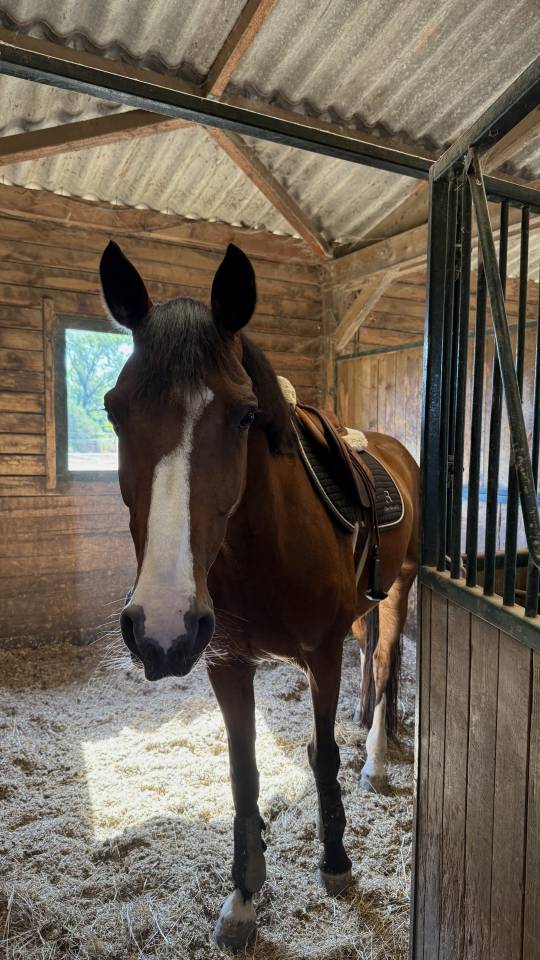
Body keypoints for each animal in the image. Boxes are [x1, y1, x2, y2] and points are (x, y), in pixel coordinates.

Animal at [99, 239, 419, 950]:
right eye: (112, 408)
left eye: (245, 414)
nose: (163, 627)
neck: (263, 544)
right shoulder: (226, 662)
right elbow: (243, 775)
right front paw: (244, 898)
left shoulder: (322, 654)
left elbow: (321, 756)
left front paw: (336, 863)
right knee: (372, 661)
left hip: (399, 590)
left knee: (385, 662)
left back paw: (377, 759)